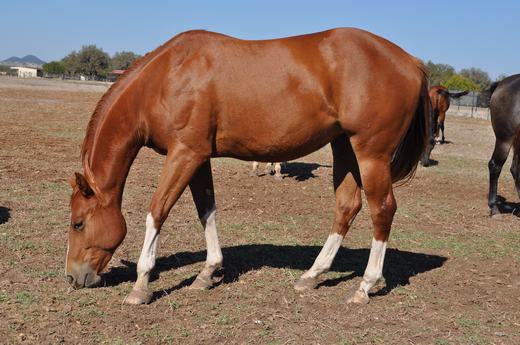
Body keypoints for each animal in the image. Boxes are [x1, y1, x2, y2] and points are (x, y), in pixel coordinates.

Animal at [65, 28, 430, 306]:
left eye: (78, 223)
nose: (72, 276)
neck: (168, 75)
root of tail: (411, 61)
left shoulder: (184, 154)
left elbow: (157, 212)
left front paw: (141, 285)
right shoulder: (197, 157)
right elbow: (207, 211)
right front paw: (208, 272)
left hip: (371, 154)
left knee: (382, 210)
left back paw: (365, 286)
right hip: (345, 147)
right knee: (347, 207)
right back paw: (312, 275)